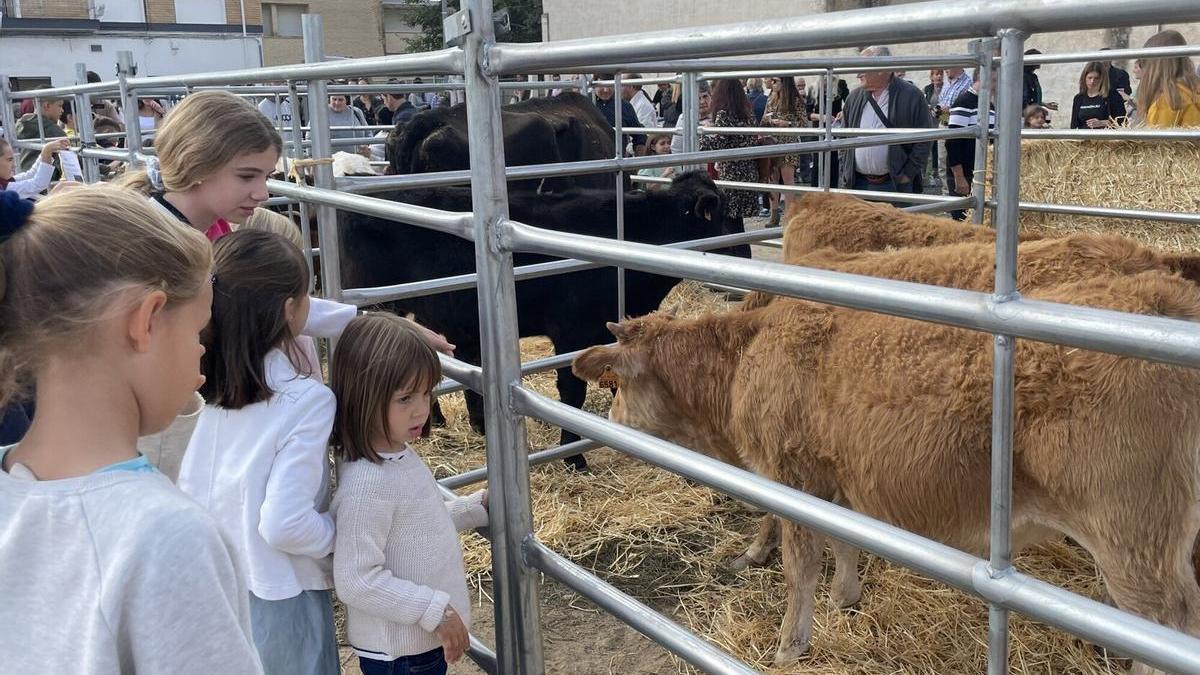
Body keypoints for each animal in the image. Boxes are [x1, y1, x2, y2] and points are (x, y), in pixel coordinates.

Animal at [576, 270, 1200, 667]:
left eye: (614, 385)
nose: (608, 420)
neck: (745, 357)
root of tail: (1160, 293)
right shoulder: (835, 478)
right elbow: (843, 541)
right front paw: (845, 598)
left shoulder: (790, 476)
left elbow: (801, 566)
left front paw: (789, 645)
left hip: (1134, 537)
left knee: (1170, 624)